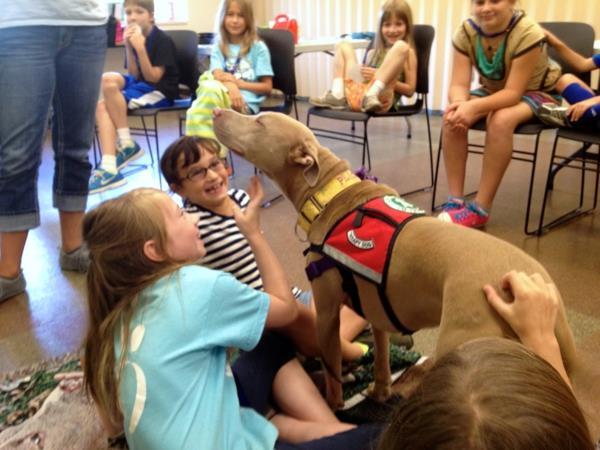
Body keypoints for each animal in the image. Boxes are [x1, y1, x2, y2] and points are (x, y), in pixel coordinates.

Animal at [213, 109, 596, 440]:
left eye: (259, 122)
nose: (216, 112)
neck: (328, 192)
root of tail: (550, 301)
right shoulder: (375, 309)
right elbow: (382, 357)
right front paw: (380, 390)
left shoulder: (326, 314)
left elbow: (332, 369)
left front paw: (333, 405)